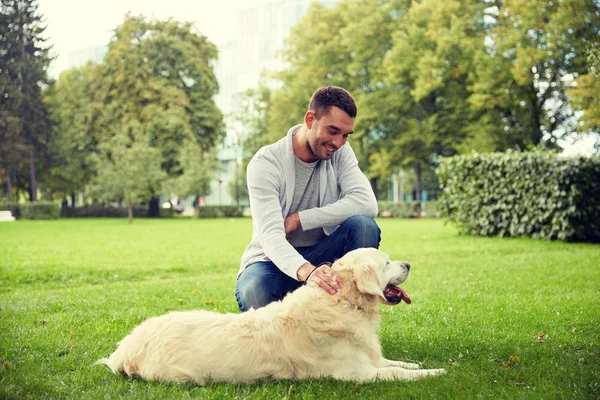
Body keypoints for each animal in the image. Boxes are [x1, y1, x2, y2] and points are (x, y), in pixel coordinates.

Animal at [98, 248, 446, 382]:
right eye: (386, 263)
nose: (408, 264)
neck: (343, 304)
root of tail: (125, 347)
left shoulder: (369, 360)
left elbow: (395, 362)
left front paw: (419, 364)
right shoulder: (356, 374)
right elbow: (397, 373)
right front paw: (437, 372)